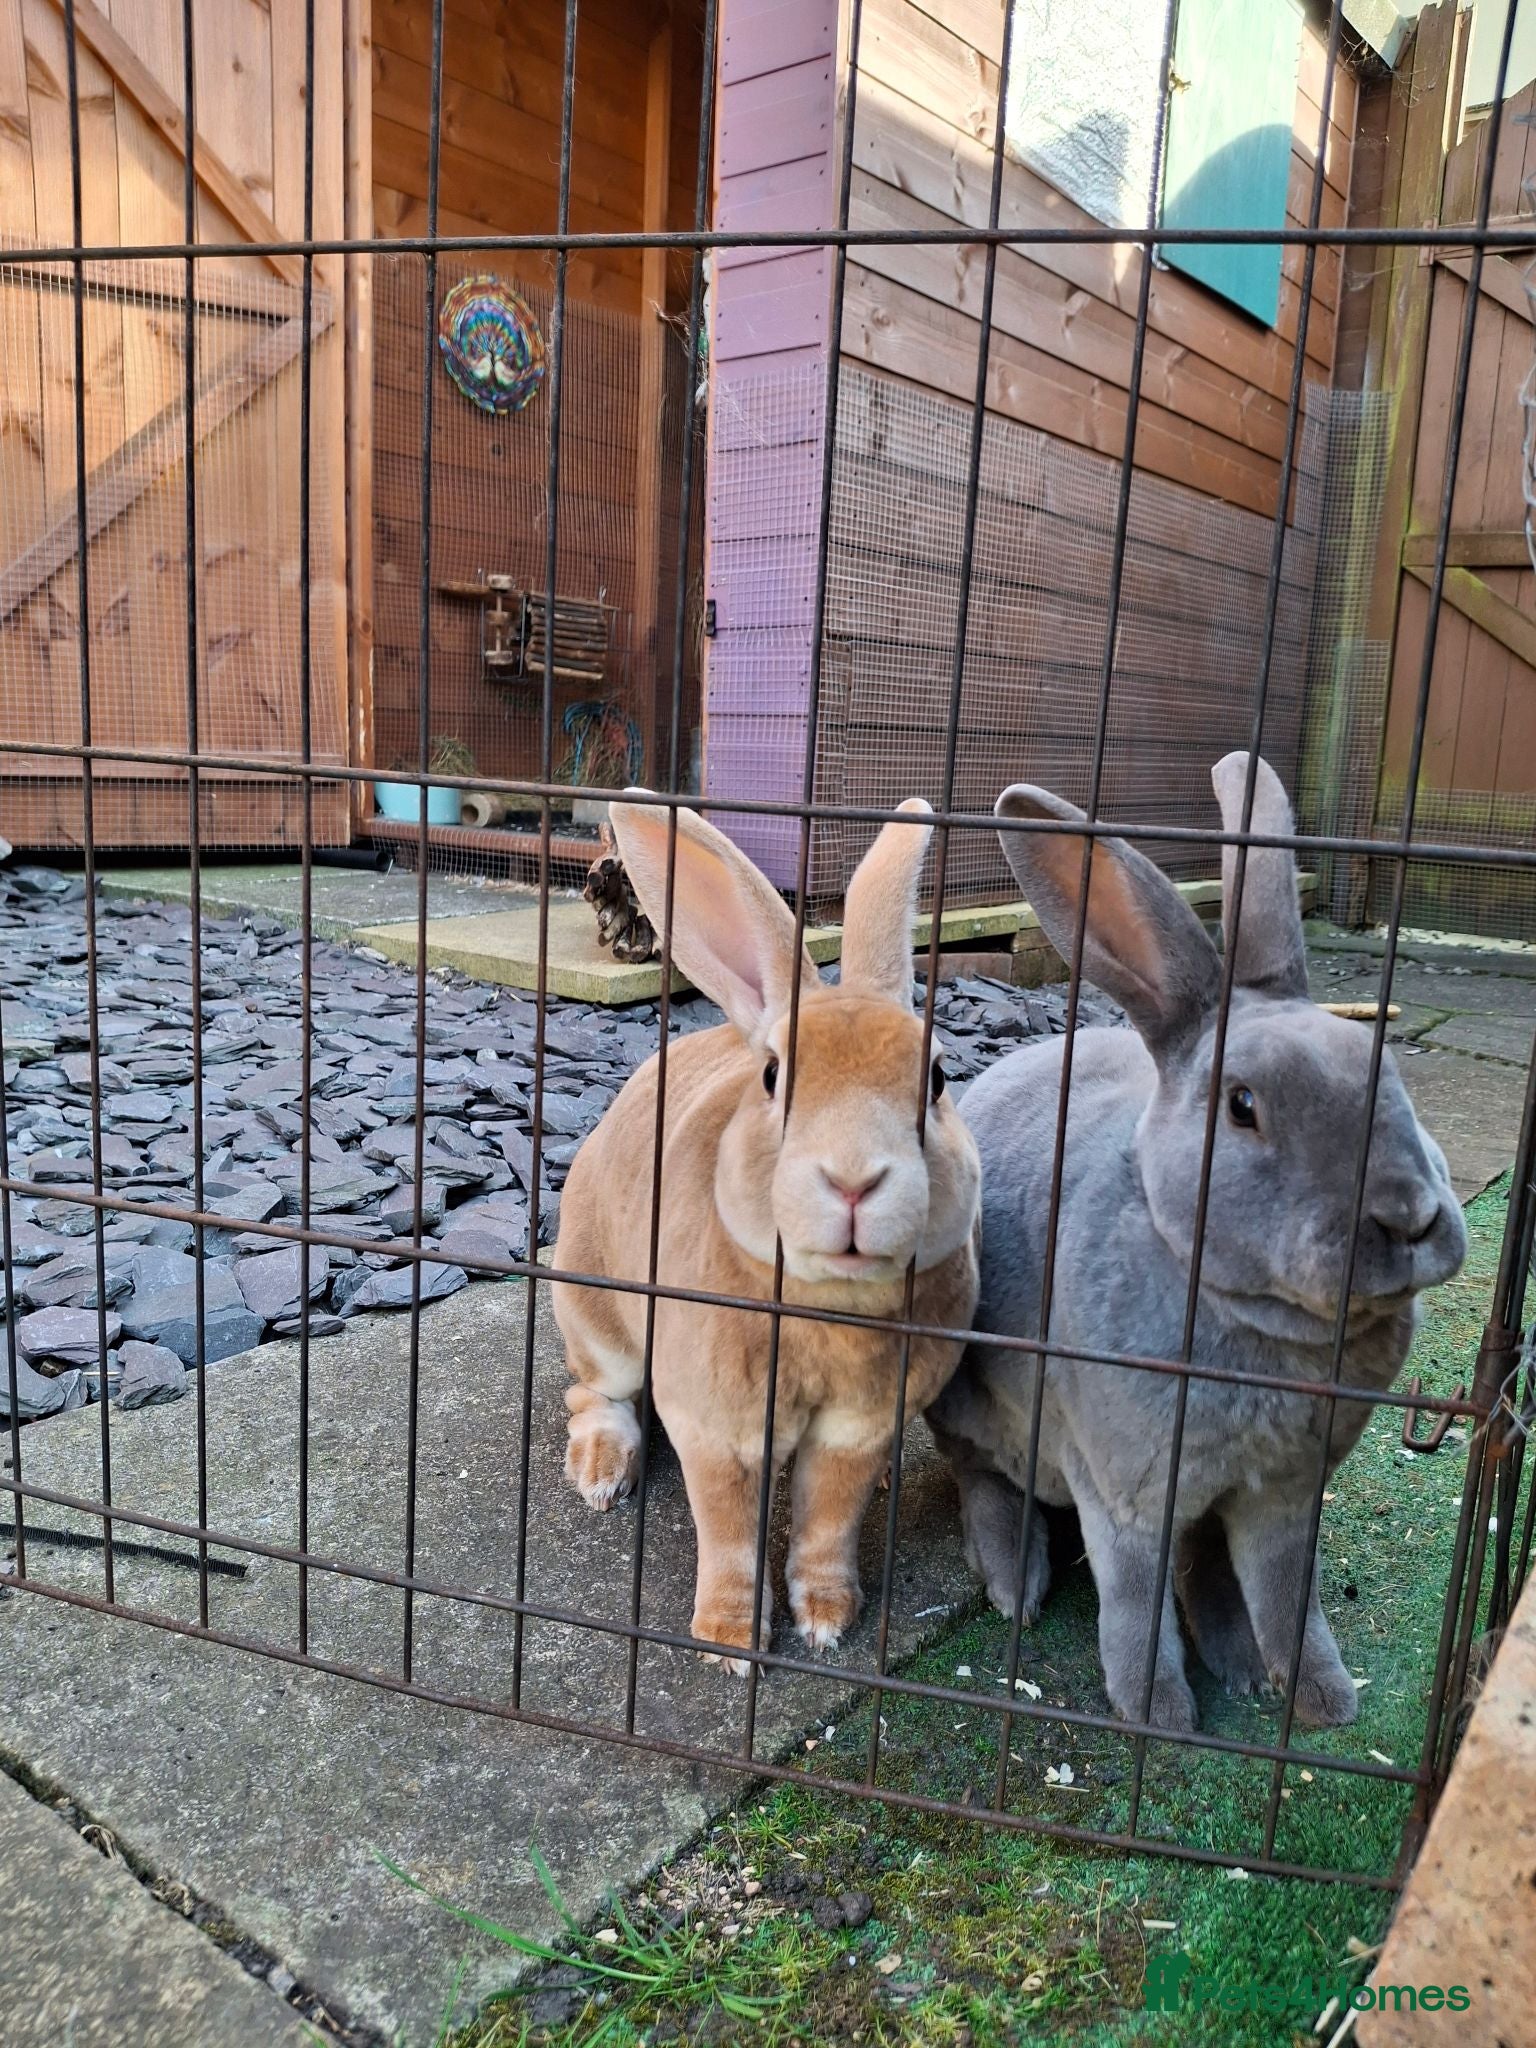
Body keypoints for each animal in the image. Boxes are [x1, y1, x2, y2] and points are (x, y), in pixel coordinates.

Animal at [554, 796, 981, 1673]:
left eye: (937, 1079)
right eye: (774, 1077)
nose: (853, 1179)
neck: (825, 1303)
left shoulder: (858, 1427)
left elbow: (829, 1519)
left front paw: (827, 1620)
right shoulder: (717, 1426)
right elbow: (728, 1528)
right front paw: (729, 1643)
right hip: (597, 1314)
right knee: (597, 1391)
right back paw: (602, 1473)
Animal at [927, 753, 1467, 1733]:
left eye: (1393, 1077)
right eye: (1243, 1106)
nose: (1410, 1219)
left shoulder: (1280, 1497)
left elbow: (1286, 1595)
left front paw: (1317, 1697)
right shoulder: (1128, 1493)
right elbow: (1138, 1601)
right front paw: (1160, 1712)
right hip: (971, 1403)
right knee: (983, 1478)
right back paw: (1016, 1585)